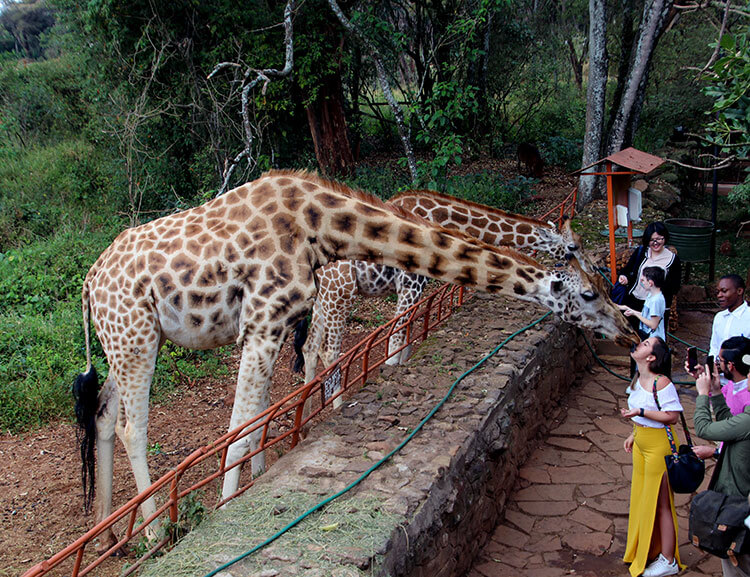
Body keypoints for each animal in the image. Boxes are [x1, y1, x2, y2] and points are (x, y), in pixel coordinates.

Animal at [296, 190, 604, 400]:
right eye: (573, 246)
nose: (594, 271)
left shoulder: (416, 286)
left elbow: (407, 337)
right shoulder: (409, 283)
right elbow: (395, 340)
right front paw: (391, 373)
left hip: (323, 299)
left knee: (309, 348)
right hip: (340, 294)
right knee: (329, 351)